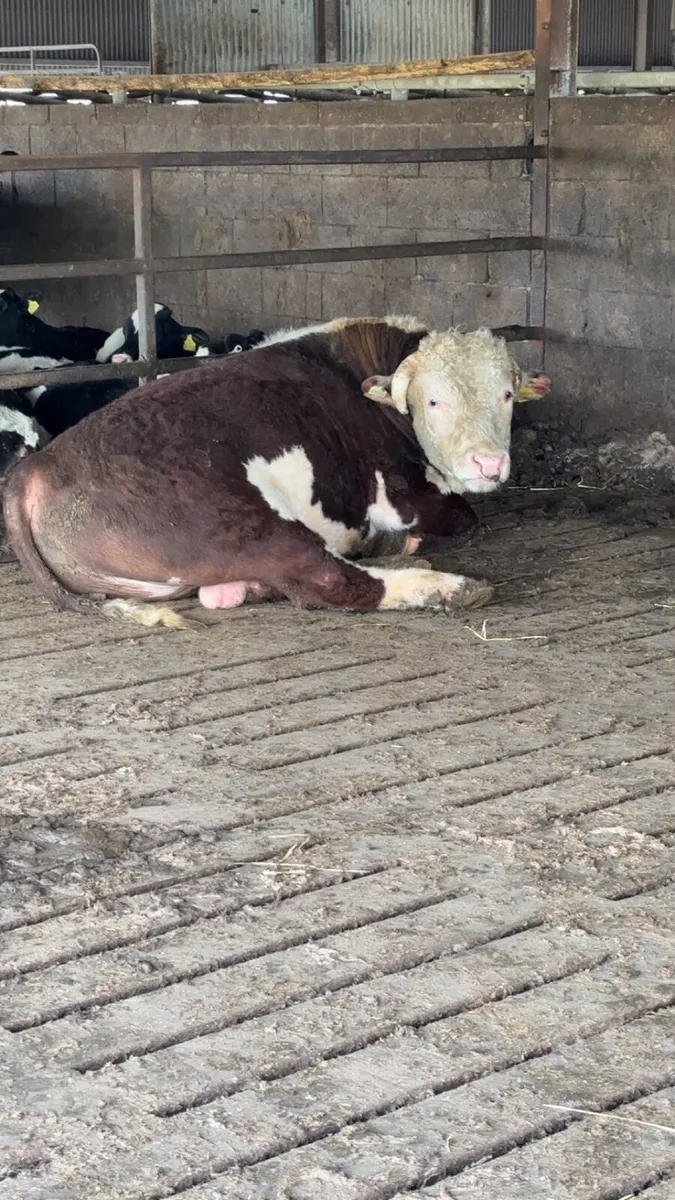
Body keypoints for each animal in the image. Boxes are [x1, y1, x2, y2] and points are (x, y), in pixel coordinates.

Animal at [2, 315, 551, 629]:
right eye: (433, 400)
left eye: (507, 394)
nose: (488, 463)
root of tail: (33, 472)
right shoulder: (406, 494)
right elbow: (462, 518)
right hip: (234, 520)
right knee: (328, 582)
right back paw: (445, 586)